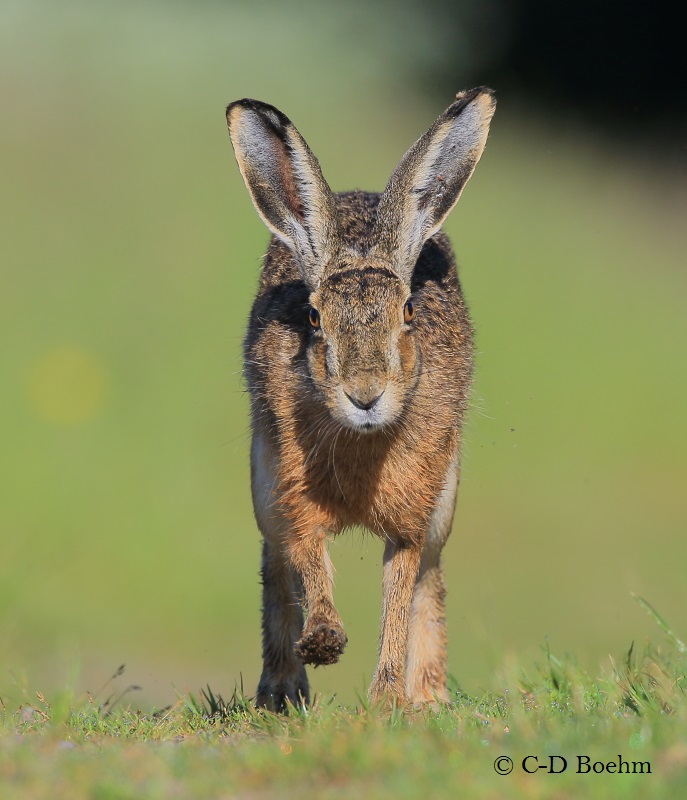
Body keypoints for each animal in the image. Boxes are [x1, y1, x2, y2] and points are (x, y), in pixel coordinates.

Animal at [225, 87, 495, 711]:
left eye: (409, 312)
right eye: (313, 318)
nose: (365, 395)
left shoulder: (414, 516)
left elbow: (399, 592)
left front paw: (389, 699)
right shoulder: (292, 492)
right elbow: (309, 560)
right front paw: (324, 641)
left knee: (429, 580)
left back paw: (429, 697)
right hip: (263, 487)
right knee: (276, 568)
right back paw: (281, 688)